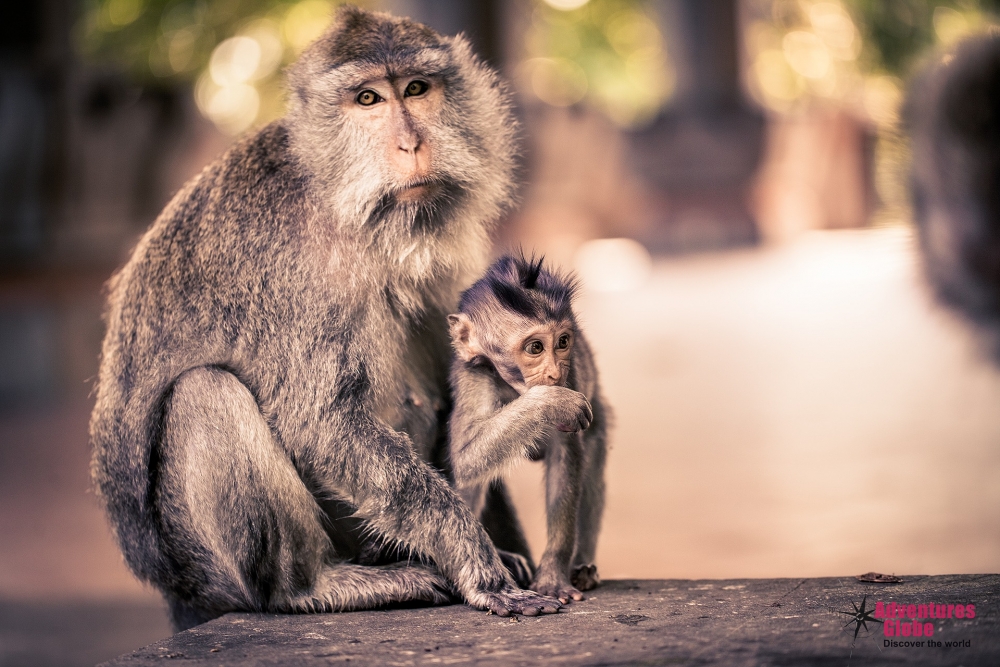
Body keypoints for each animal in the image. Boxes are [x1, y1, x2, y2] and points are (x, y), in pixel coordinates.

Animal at [91, 7, 564, 628]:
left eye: (417, 88)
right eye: (368, 99)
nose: (411, 144)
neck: (345, 201)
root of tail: (178, 595)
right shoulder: (296, 263)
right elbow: (322, 422)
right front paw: (477, 563)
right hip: (207, 569)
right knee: (205, 392)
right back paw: (309, 587)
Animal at [448, 254, 604, 604]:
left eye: (563, 342)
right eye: (535, 348)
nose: (554, 373)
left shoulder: (573, 375)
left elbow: (566, 457)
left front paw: (553, 575)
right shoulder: (474, 374)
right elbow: (466, 458)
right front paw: (549, 402)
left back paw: (583, 568)